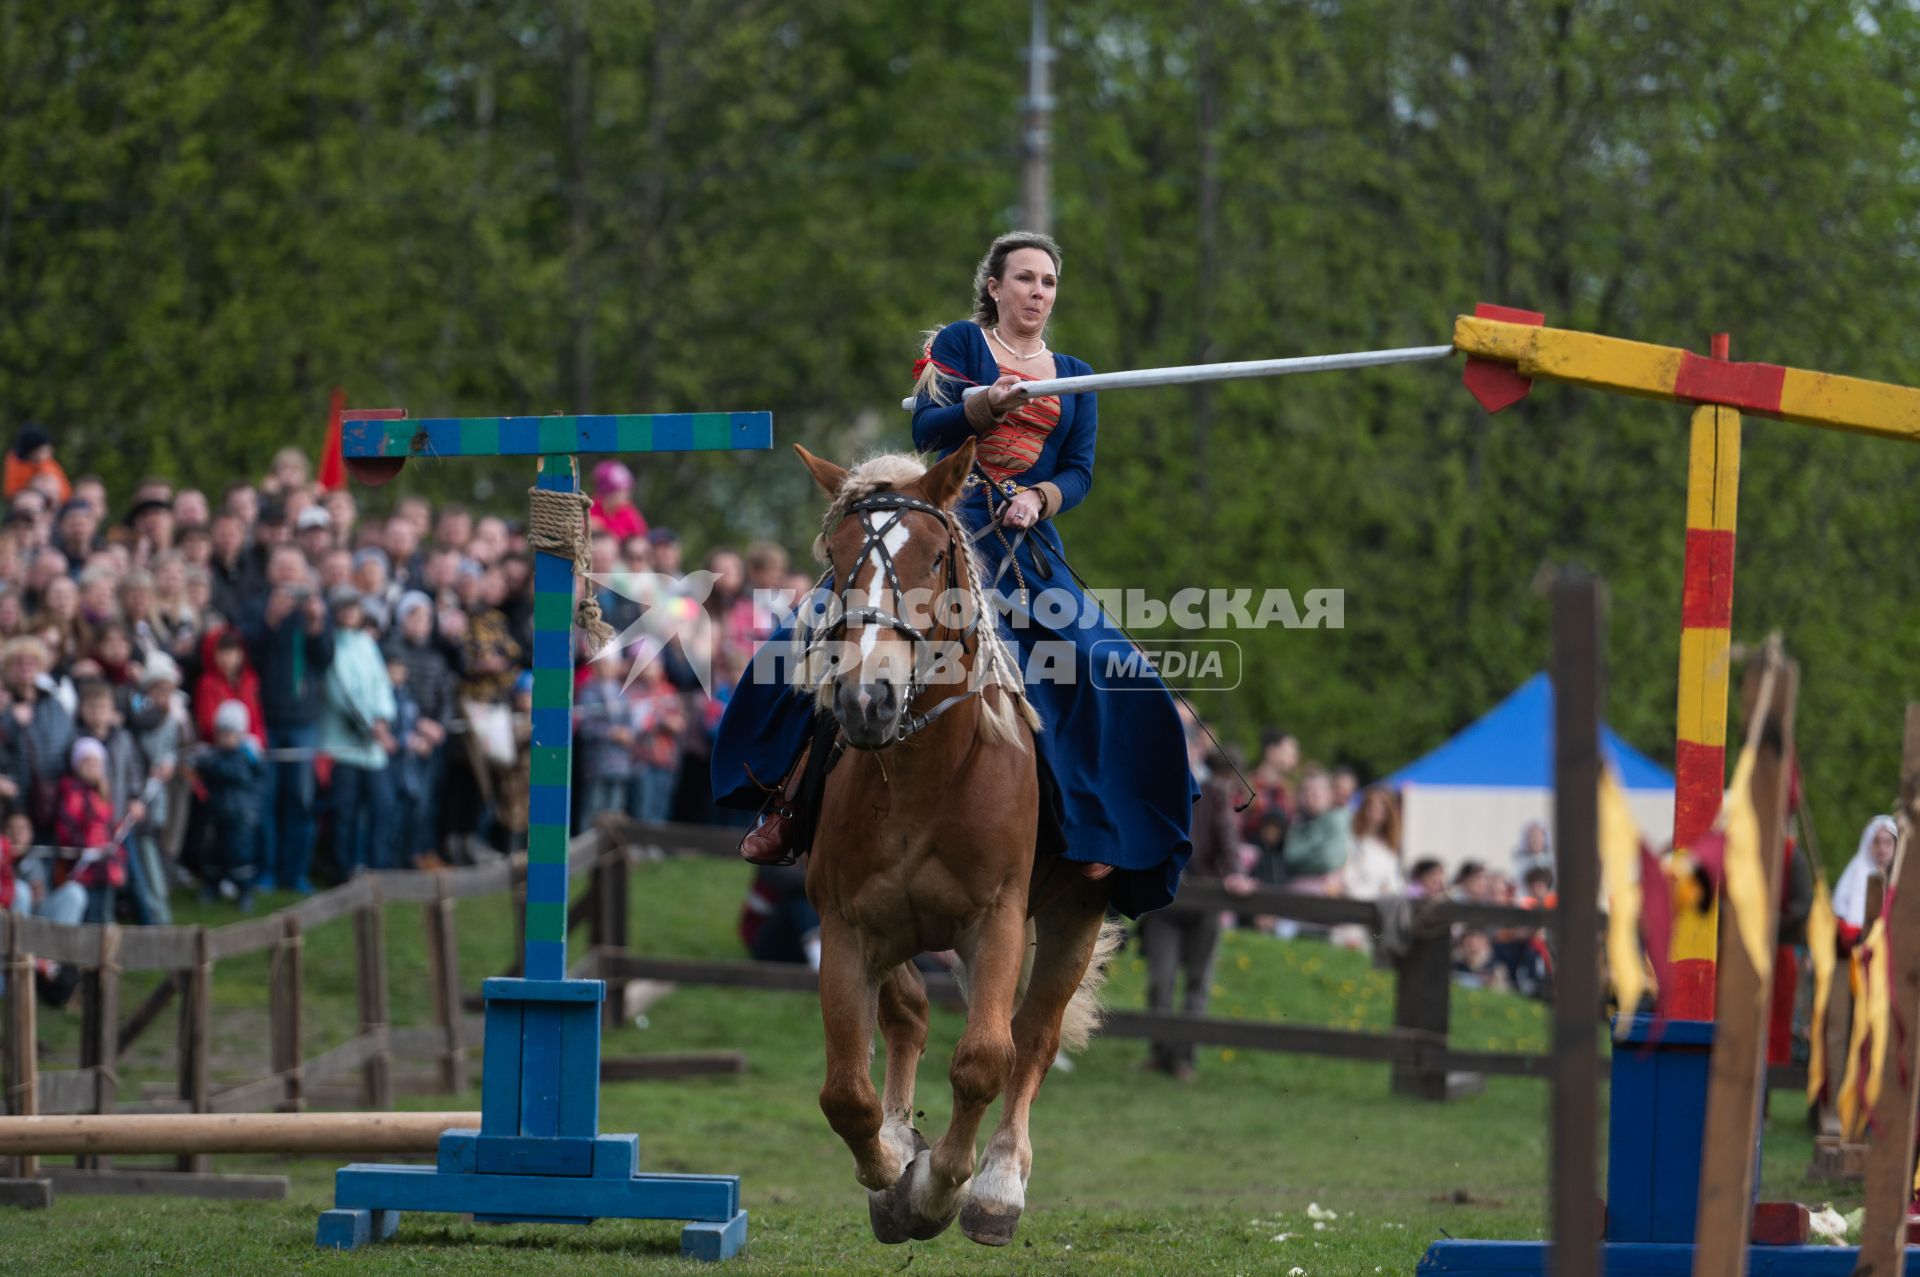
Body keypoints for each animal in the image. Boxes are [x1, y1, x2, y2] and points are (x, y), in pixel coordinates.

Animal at [791, 441, 1121, 1244]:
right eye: (835, 557)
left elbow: (984, 1059)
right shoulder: (847, 926)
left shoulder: (996, 919)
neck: (922, 776)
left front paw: (944, 1190)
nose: (866, 699)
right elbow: (846, 1092)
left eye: (937, 556)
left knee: (1033, 1037)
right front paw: (891, 1173)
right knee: (908, 1016)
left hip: (1072, 915)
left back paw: (1000, 1181)